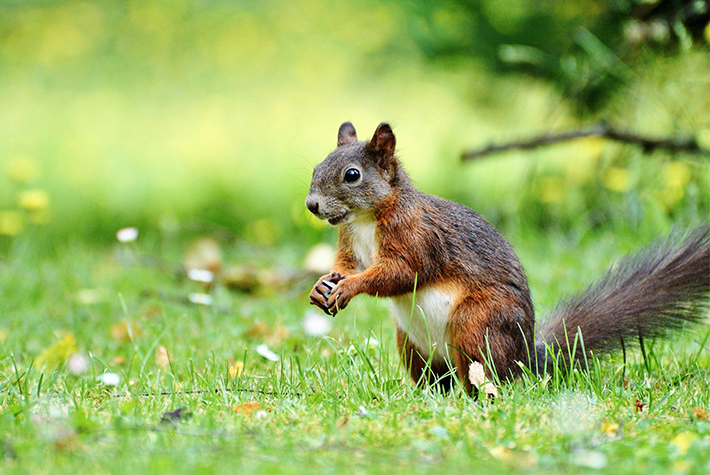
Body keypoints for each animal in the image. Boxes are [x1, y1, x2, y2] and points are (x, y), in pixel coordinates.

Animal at [305, 121, 710, 394]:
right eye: (316, 168)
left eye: (352, 175)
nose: (311, 205)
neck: (364, 220)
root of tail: (525, 358)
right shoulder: (349, 243)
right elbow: (345, 265)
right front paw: (322, 286)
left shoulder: (417, 238)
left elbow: (398, 273)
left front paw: (350, 288)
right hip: (412, 345)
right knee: (436, 380)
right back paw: (424, 399)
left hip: (476, 325)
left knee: (483, 377)